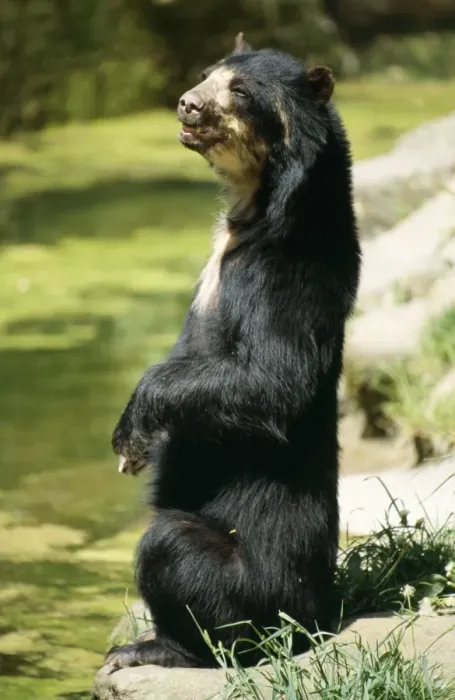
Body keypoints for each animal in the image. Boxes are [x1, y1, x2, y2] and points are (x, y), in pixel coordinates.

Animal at [104, 32, 361, 671]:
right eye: (206, 74)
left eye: (241, 92)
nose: (186, 104)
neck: (254, 213)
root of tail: (318, 615)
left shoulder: (284, 276)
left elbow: (272, 380)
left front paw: (129, 440)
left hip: (254, 587)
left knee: (173, 550)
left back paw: (152, 647)